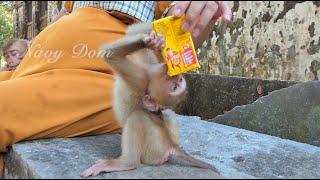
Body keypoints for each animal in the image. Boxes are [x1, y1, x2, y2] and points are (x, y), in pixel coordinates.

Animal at [80, 23, 220, 178]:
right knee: (168, 114)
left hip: (153, 151)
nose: (177, 76)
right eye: (178, 83)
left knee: (137, 118)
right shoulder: (150, 67)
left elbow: (111, 54)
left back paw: (124, 163)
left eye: (175, 86)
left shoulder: (141, 78)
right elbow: (133, 31)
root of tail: (171, 146)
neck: (151, 74)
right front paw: (157, 38)